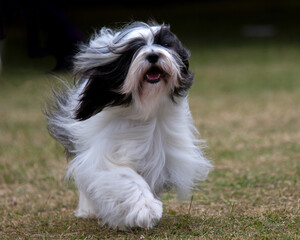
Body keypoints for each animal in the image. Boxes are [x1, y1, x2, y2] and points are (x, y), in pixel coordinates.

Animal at [45, 21, 212, 230]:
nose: (153, 55)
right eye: (133, 50)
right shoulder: (104, 156)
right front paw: (146, 210)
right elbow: (125, 178)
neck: (144, 110)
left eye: (163, 44)